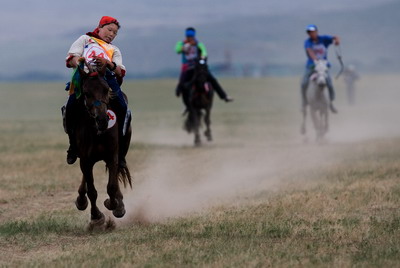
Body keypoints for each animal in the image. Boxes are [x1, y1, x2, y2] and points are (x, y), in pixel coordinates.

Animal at [72, 61, 133, 227]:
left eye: (106, 89)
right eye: (86, 93)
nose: (102, 120)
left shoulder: (112, 156)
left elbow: (111, 187)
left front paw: (115, 206)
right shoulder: (86, 160)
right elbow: (92, 191)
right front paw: (96, 217)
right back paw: (81, 200)